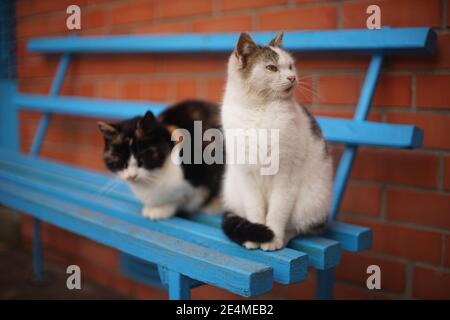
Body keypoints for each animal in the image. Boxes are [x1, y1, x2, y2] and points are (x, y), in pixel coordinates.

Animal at [220, 33, 332, 252]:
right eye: (271, 68)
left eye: (290, 66)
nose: (292, 78)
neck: (259, 109)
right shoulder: (247, 176)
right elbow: (255, 210)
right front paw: (256, 236)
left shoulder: (286, 176)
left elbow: (278, 212)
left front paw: (273, 238)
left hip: (310, 201)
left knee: (299, 226)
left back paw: (285, 236)